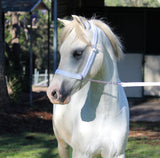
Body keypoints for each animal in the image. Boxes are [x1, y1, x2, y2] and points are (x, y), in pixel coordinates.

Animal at [47, 15, 129, 158]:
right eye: (61, 53)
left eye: (78, 53)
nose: (53, 92)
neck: (106, 114)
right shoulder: (81, 153)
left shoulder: (117, 154)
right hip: (62, 145)